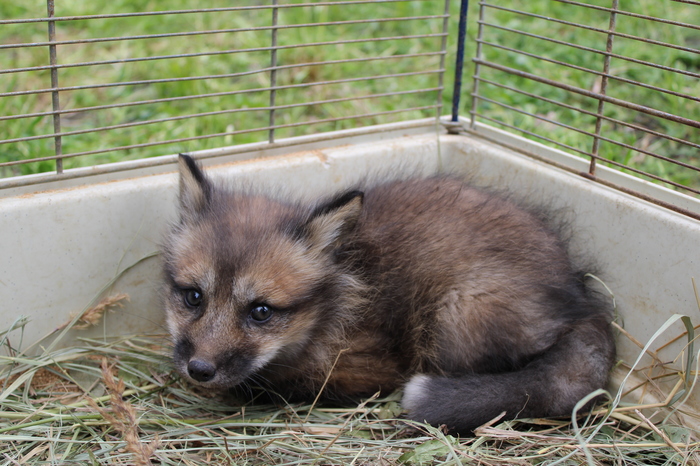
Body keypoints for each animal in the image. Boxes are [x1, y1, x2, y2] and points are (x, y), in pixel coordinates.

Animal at [161, 154, 616, 434]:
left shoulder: (367, 371)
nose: (199, 369)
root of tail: (583, 302)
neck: (333, 311)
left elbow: (268, 388)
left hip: (456, 314)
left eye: (260, 311)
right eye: (194, 297)